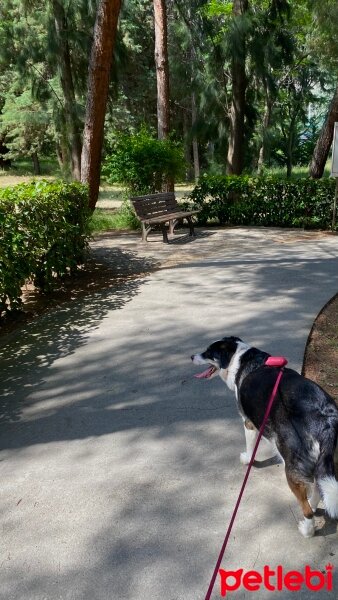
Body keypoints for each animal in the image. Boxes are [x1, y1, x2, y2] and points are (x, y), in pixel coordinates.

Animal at [191, 338, 338, 540]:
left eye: (208, 352)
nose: (191, 356)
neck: (241, 359)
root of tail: (325, 418)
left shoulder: (249, 423)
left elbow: (250, 447)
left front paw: (247, 460)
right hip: (321, 462)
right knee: (318, 488)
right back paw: (314, 505)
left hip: (292, 468)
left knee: (306, 508)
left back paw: (307, 530)